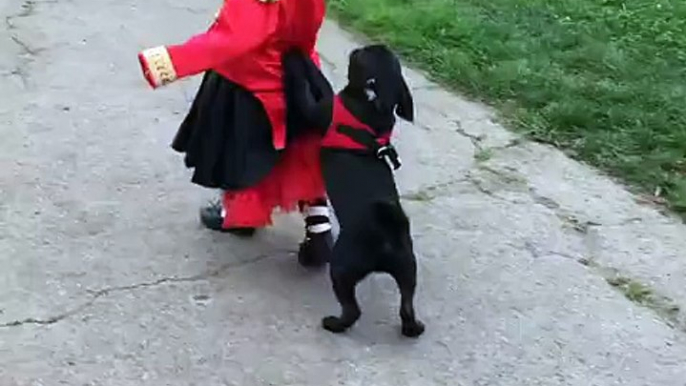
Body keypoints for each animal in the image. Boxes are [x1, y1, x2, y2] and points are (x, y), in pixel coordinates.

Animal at [284, 43, 424, 336]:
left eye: (362, 56)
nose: (358, 48)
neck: (374, 107)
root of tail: (386, 238)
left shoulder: (320, 107)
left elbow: (313, 82)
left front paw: (294, 56)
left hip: (342, 267)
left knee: (352, 309)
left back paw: (334, 323)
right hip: (408, 269)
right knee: (407, 303)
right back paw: (413, 328)